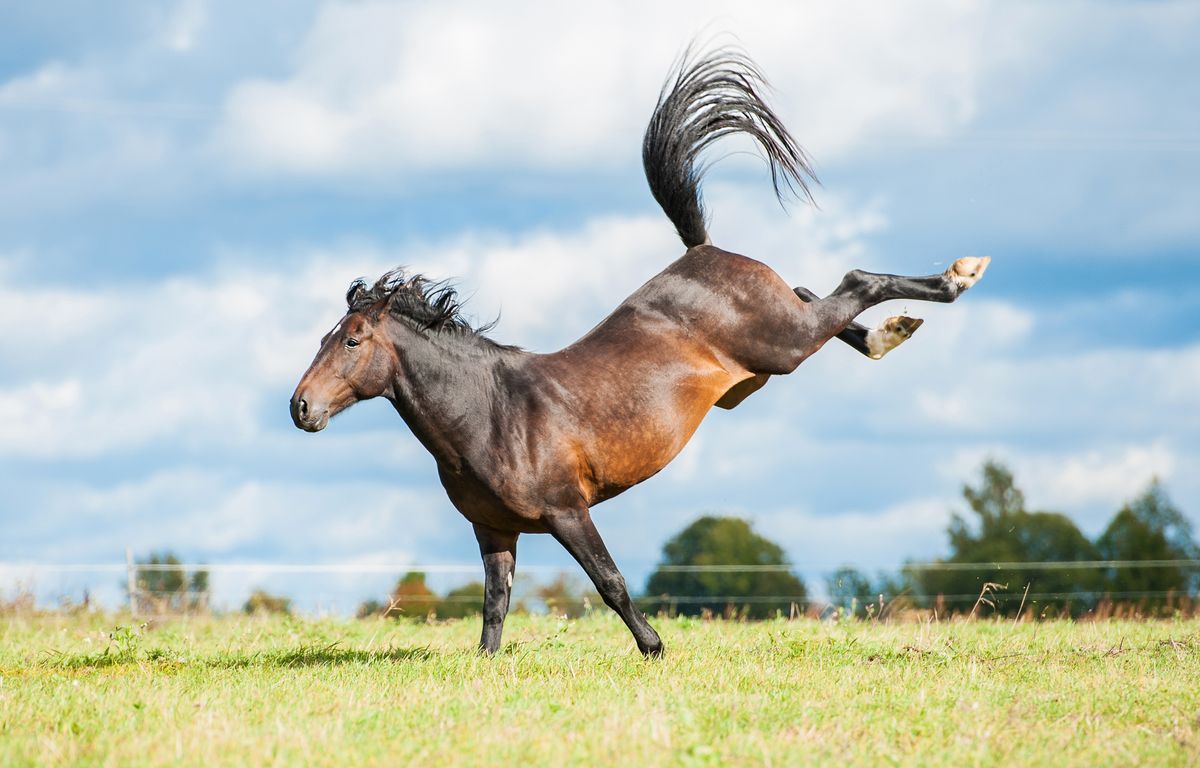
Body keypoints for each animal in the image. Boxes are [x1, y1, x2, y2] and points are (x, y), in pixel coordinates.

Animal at [290, 48, 989, 656]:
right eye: (324, 338)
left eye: (351, 340)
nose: (300, 409)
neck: (488, 413)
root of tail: (702, 251)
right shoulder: (494, 530)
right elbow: (494, 607)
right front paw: (488, 666)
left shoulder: (567, 511)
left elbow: (610, 582)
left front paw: (654, 648)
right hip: (782, 343)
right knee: (818, 292)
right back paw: (895, 329)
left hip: (784, 343)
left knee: (855, 282)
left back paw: (954, 279)